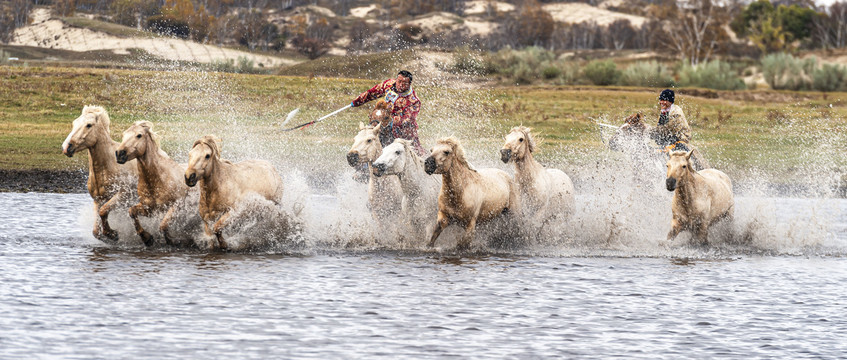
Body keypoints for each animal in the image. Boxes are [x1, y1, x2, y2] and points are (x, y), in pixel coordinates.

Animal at [60, 105, 136, 240]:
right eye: (74, 122)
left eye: (89, 125)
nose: (66, 147)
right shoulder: (98, 199)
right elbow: (96, 230)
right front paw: (109, 234)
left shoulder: (124, 194)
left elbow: (103, 211)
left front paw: (112, 234)